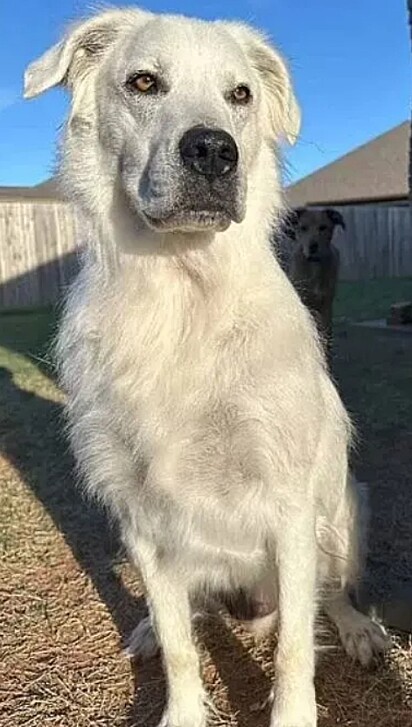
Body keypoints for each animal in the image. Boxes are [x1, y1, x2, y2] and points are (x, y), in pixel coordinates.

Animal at [25, 7, 386, 727]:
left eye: (240, 94)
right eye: (143, 81)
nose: (215, 151)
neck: (184, 292)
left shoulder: (291, 504)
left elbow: (296, 645)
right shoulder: (140, 514)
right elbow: (180, 644)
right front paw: (182, 707)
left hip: (345, 508)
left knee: (329, 593)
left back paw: (359, 627)